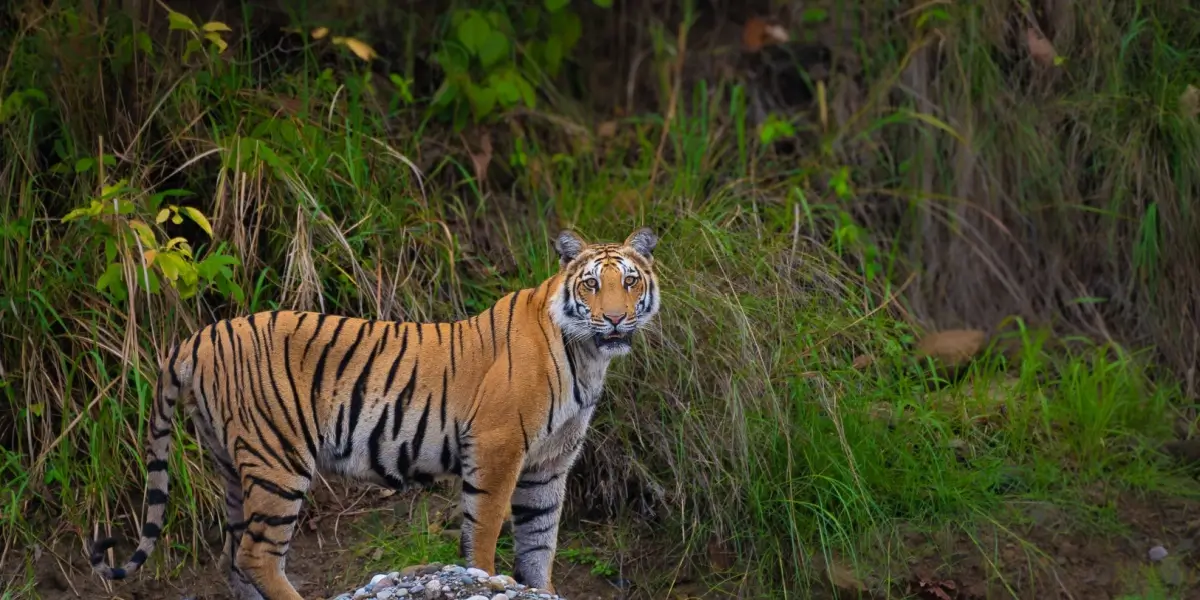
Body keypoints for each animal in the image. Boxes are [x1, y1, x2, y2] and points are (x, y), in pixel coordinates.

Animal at [88, 228, 662, 600]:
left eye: (630, 282)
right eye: (591, 284)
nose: (616, 319)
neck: (588, 356)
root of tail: (199, 337)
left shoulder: (549, 462)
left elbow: (539, 543)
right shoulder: (497, 447)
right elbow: (484, 536)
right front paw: (486, 577)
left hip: (234, 466)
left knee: (234, 559)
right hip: (278, 461)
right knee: (255, 555)